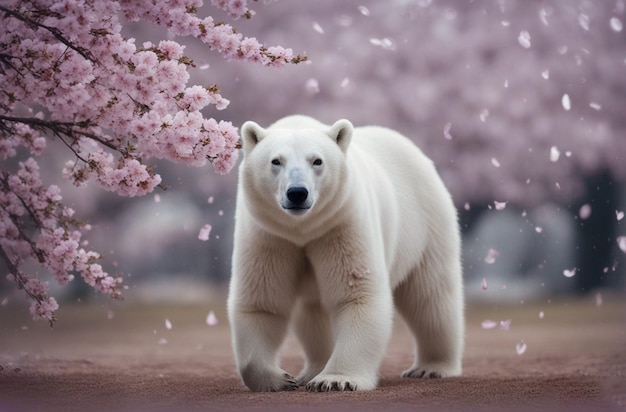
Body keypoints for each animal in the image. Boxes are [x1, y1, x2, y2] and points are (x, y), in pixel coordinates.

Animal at [227, 114, 460, 392]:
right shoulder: (269, 236)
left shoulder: (341, 224)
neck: (303, 229)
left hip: (426, 224)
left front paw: (335, 380)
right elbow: (261, 302)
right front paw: (279, 380)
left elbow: (357, 295)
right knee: (312, 313)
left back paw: (431, 367)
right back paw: (311, 370)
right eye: (276, 161)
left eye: (317, 160)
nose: (297, 193)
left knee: (431, 297)